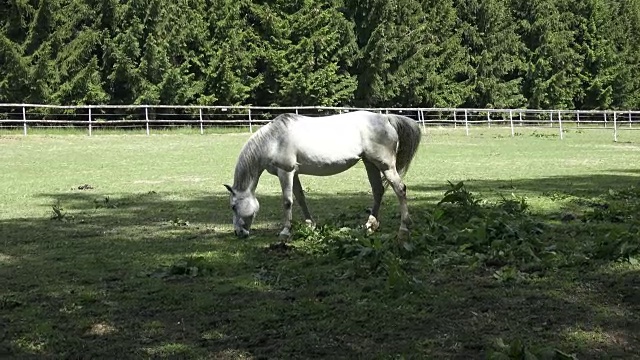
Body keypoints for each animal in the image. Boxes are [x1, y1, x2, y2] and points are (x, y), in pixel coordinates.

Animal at [222, 108, 422, 240]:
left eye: (233, 206)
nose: (238, 233)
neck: (274, 140)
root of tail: (386, 118)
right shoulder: (294, 173)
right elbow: (300, 198)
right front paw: (310, 225)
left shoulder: (285, 172)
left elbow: (287, 201)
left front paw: (285, 231)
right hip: (370, 163)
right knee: (378, 191)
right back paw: (370, 226)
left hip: (385, 166)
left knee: (400, 189)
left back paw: (404, 228)